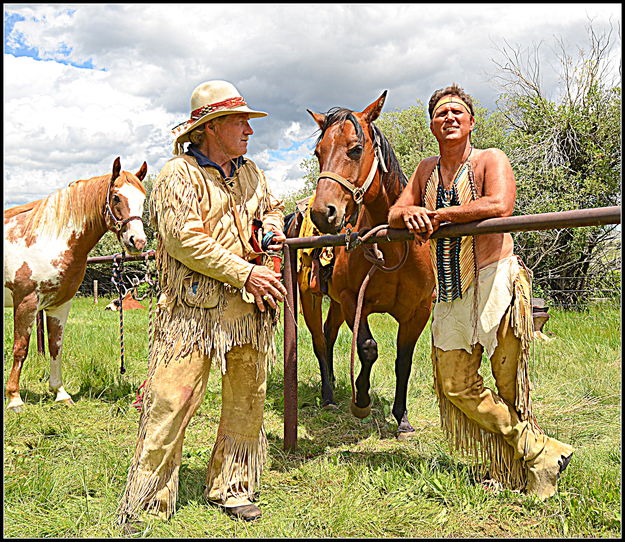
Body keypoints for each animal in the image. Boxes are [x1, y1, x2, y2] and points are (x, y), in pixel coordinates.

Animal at [3, 157, 147, 412]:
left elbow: (55, 346)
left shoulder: (60, 304)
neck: (48, 240)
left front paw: (60, 393)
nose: (137, 242)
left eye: (144, 199)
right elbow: (20, 349)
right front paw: (14, 399)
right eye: (116, 197)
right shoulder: (26, 303)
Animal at [296, 93, 434, 440]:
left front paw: (402, 419)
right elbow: (368, 348)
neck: (392, 245)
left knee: (329, 335)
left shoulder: (418, 311)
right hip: (311, 298)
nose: (323, 213)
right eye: (318, 153)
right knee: (320, 341)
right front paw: (361, 399)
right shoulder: (352, 301)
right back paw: (329, 397)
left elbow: (404, 360)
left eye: (356, 149)